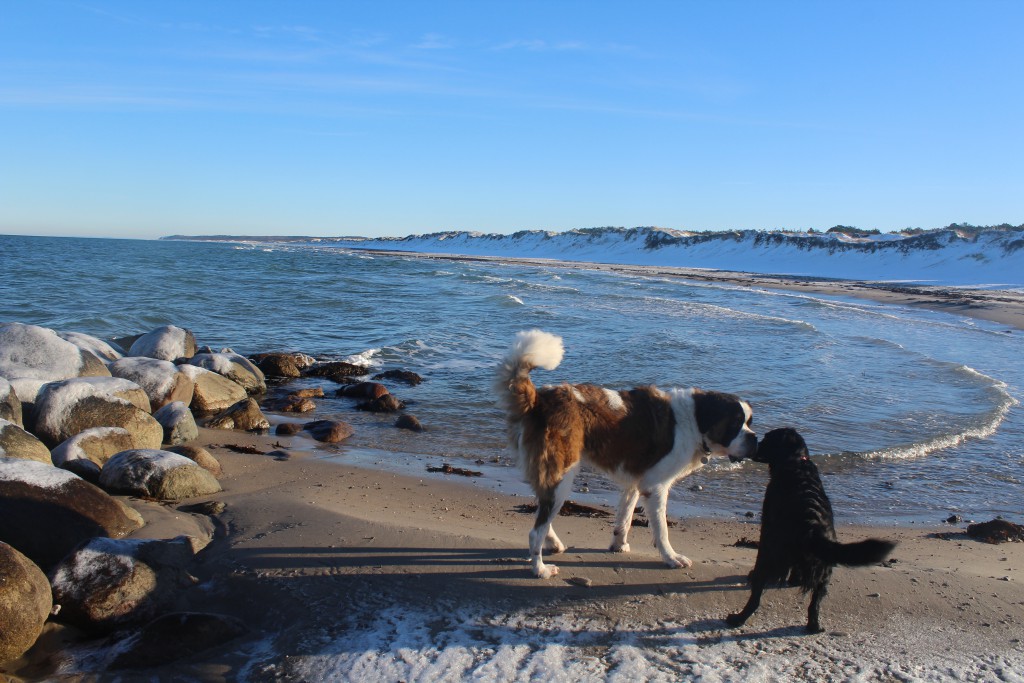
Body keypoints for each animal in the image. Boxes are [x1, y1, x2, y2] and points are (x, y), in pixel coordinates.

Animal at [499, 329, 757, 577]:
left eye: (749, 422)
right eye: (735, 423)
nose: (754, 438)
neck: (694, 419)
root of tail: (539, 399)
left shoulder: (636, 481)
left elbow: (626, 515)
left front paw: (619, 544)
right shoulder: (655, 487)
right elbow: (661, 528)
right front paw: (671, 557)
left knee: (542, 510)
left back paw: (553, 543)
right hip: (561, 473)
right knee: (535, 531)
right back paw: (540, 569)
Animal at [720, 428, 897, 634]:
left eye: (766, 439)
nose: (754, 445)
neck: (796, 461)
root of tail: (813, 528)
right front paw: (795, 580)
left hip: (773, 552)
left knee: (756, 596)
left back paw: (737, 618)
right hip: (825, 569)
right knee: (815, 603)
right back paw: (814, 626)